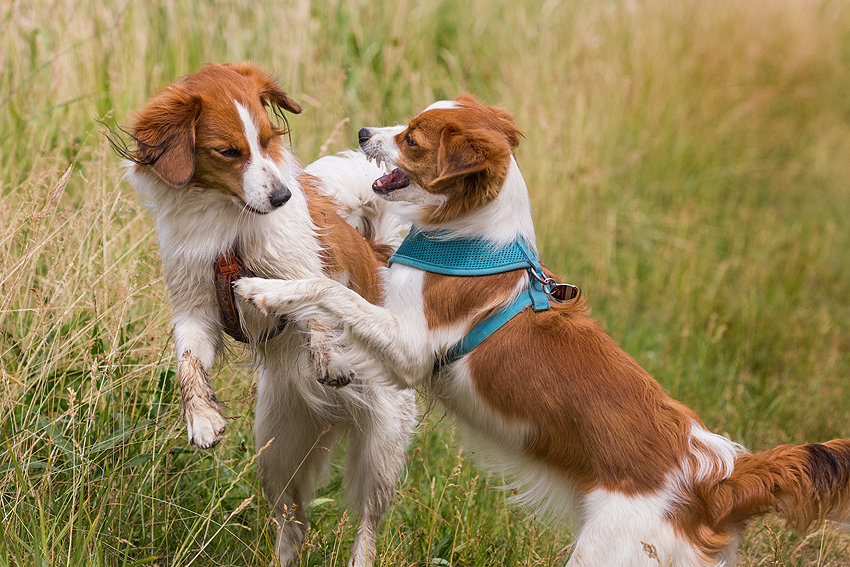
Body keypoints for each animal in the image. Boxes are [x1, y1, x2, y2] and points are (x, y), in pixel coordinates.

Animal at [121, 63, 416, 567]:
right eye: (228, 152)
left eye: (264, 139)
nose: (281, 196)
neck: (225, 219)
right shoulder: (196, 310)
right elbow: (188, 363)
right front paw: (202, 418)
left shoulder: (302, 265)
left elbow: (316, 305)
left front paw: (329, 358)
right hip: (276, 451)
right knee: (293, 523)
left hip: (381, 447)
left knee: (367, 525)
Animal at [235, 95, 848, 564]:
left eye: (411, 139)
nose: (364, 131)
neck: (470, 245)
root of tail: (717, 476)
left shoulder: (411, 350)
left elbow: (333, 292)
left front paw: (266, 290)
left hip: (609, 551)